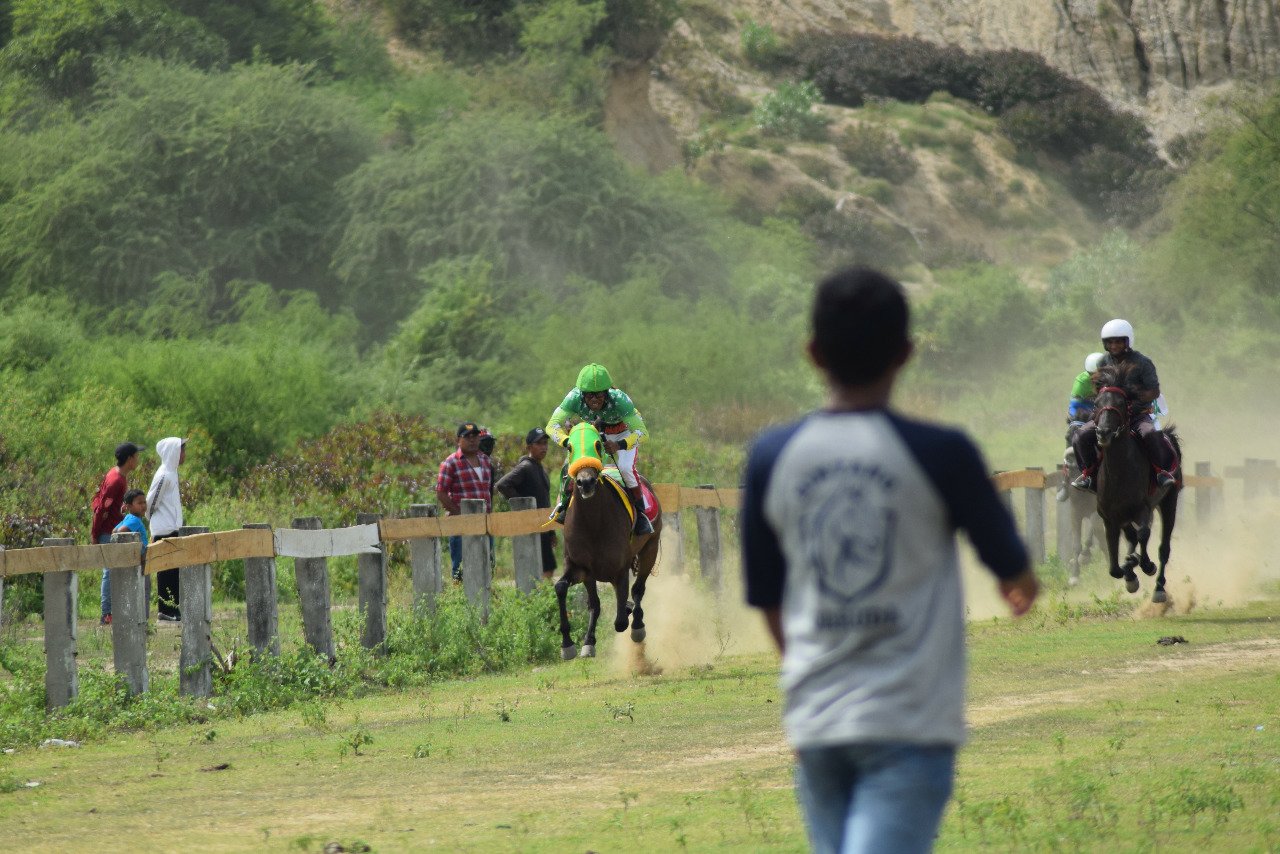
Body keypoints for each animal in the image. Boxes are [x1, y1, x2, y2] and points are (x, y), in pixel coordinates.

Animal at [555, 422, 665, 660]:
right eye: (569, 447)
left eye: (598, 444)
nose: (585, 482)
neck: (593, 524)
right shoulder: (581, 568)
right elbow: (566, 590)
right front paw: (573, 644)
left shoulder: (619, 570)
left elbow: (621, 621)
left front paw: (629, 613)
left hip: (650, 549)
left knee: (638, 589)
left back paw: (637, 625)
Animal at [1090, 363, 1177, 604]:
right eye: (1096, 403)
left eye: (1121, 403)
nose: (1103, 433)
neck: (1120, 474)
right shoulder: (1109, 517)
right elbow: (1114, 567)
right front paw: (1129, 573)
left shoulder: (1143, 508)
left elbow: (1143, 535)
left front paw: (1145, 564)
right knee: (1131, 537)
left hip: (1170, 501)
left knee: (1163, 547)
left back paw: (1158, 587)